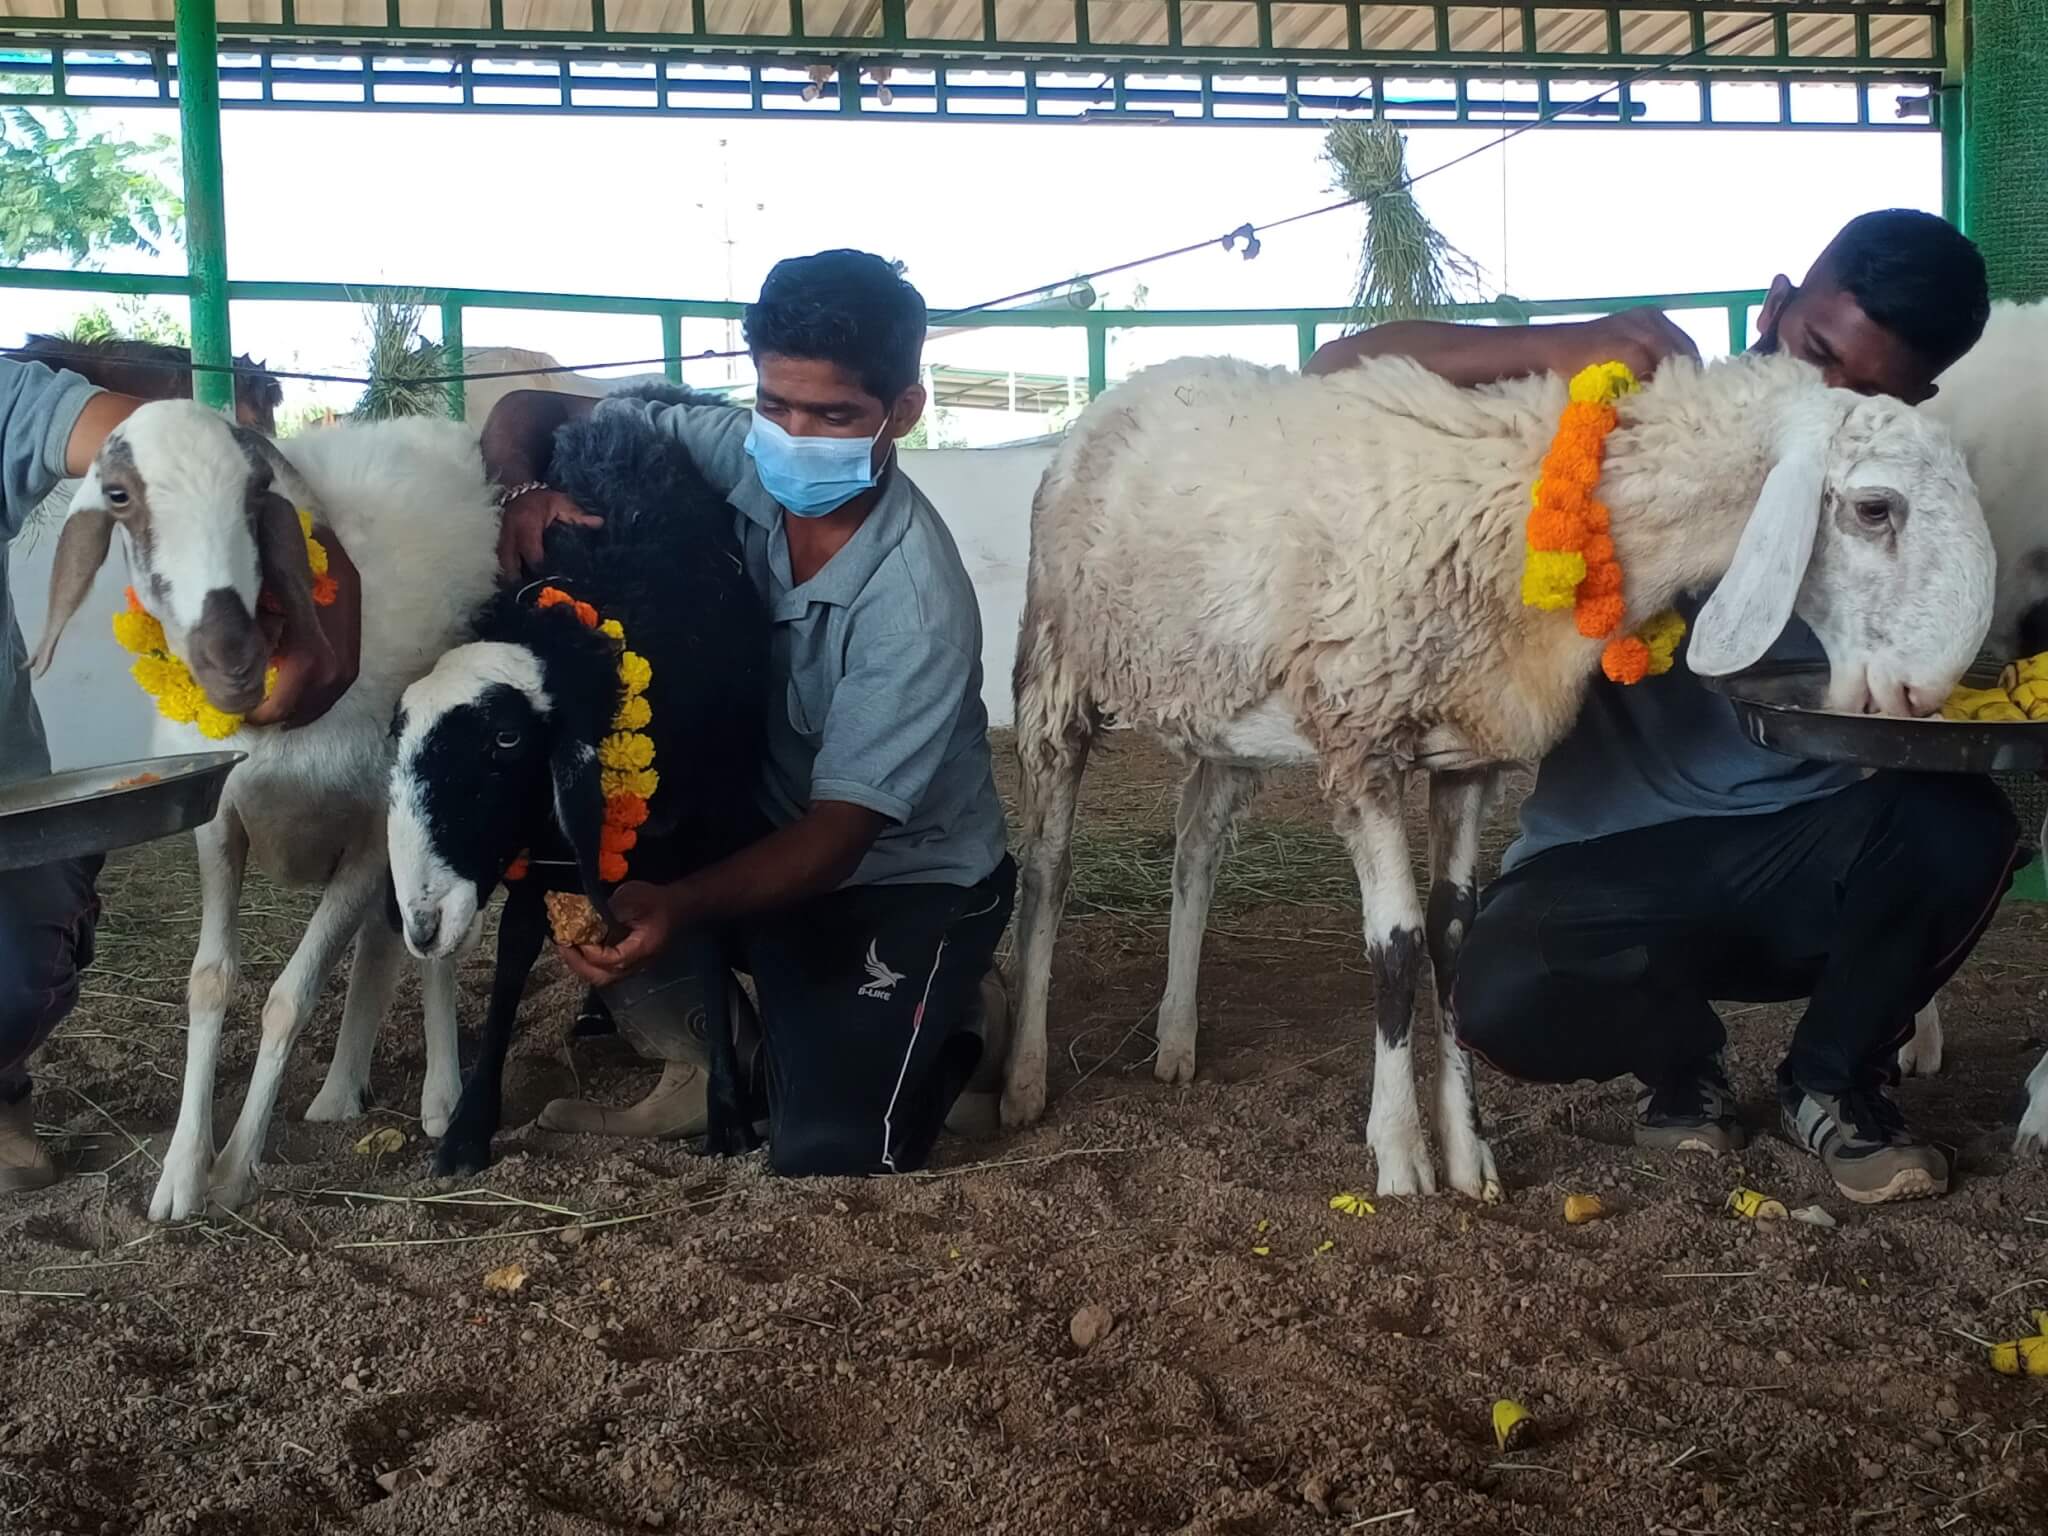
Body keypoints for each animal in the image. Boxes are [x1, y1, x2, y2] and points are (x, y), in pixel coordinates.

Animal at [30, 403, 499, 1220]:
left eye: (256, 490)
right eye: (118, 495)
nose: (231, 657)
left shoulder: (369, 838)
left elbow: (288, 998)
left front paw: (235, 1168)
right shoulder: (220, 824)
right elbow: (210, 981)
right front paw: (182, 1173)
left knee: (431, 949)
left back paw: (442, 1096)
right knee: (382, 945)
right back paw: (339, 1090)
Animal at [385, 387, 770, 1179]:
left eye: (505, 740)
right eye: (395, 741)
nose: (422, 926)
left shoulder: (711, 826)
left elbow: (708, 938)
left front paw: (728, 1112)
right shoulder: (539, 855)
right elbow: (511, 964)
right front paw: (468, 1130)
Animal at [1007, 352, 1998, 1204]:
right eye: (1875, 509)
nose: (1922, 692)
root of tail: (1133, 386)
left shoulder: (1467, 757)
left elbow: (1451, 941)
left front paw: (1469, 1155)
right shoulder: (1360, 739)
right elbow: (1397, 946)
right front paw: (1400, 1156)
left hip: (1221, 714)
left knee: (1195, 856)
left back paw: (1175, 1040)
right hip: (1057, 676)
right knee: (1048, 873)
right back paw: (1024, 1074)